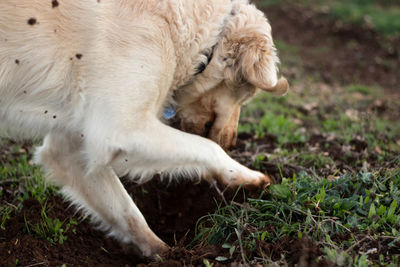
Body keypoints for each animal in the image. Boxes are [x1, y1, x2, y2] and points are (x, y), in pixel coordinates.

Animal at [0, 0, 288, 260]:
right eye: (247, 95)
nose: (232, 143)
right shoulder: (121, 129)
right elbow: (208, 147)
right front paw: (244, 175)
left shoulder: (72, 148)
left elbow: (125, 209)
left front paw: (164, 253)